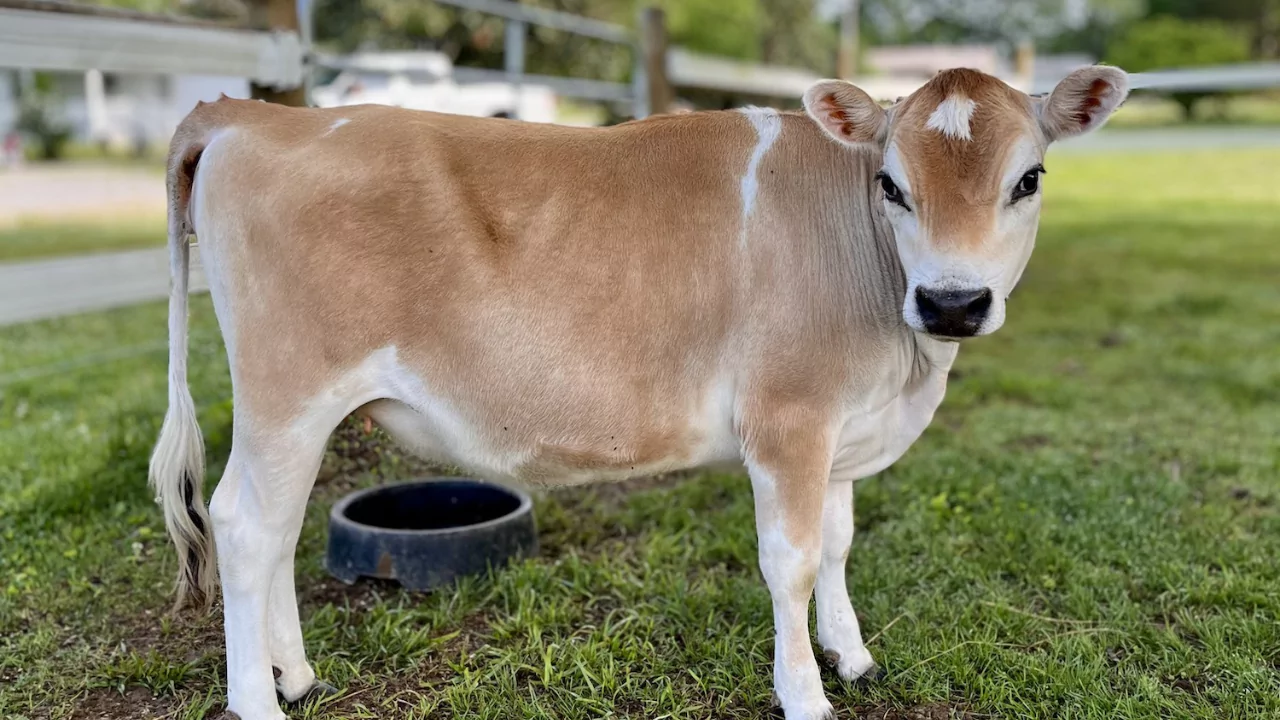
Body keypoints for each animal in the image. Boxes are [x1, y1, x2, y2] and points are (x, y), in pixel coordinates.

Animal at [149, 65, 1128, 719]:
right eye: (892, 184)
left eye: (1029, 178)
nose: (953, 301)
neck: (903, 364)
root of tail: (248, 115)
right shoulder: (788, 416)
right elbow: (792, 559)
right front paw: (805, 693)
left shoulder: (842, 425)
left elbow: (840, 544)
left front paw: (851, 656)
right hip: (288, 390)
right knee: (241, 524)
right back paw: (259, 700)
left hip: (303, 410)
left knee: (275, 531)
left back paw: (294, 674)